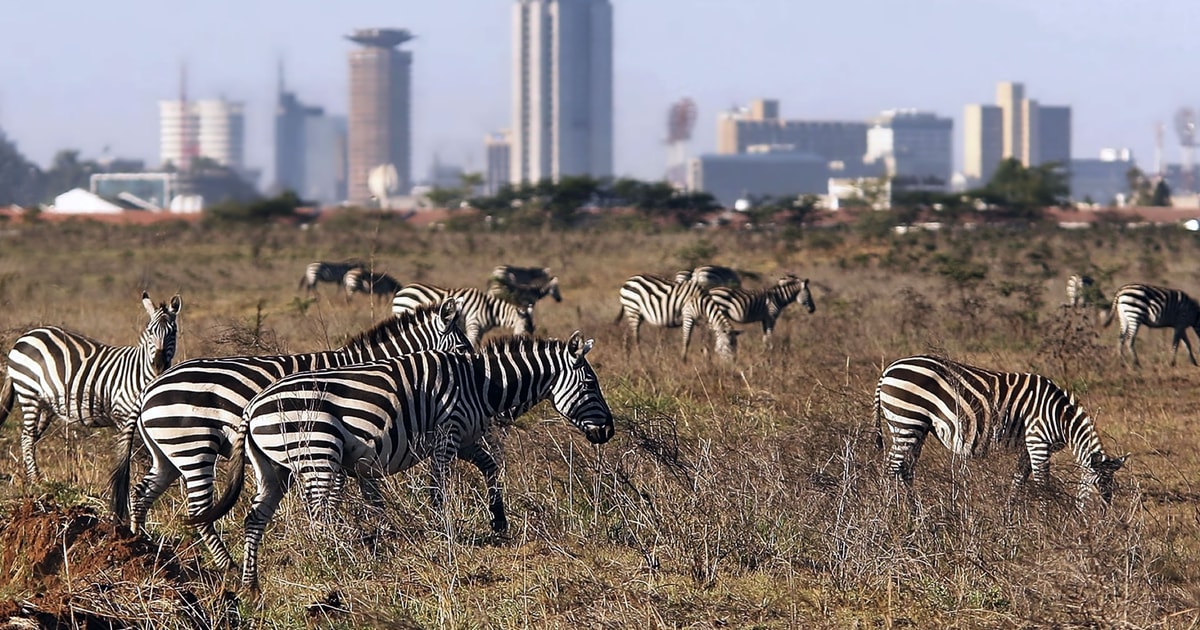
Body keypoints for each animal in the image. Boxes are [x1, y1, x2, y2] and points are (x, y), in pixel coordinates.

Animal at [0, 292, 182, 480]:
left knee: (32, 437)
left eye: (173, 332)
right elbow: (137, 453)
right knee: (27, 437)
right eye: (150, 331)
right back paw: (35, 479)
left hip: (46, 404)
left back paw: (29, 475)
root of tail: (27, 335)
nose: (159, 365)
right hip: (29, 394)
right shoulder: (122, 416)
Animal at [110, 300, 468, 568]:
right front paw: (338, 538)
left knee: (141, 494)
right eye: (464, 348)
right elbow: (336, 494)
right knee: (197, 511)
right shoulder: (333, 438)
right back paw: (228, 566)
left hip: (168, 453)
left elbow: (362, 492)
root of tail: (151, 388)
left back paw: (142, 550)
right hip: (193, 446)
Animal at [193, 331, 619, 592]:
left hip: (273, 467)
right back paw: (337, 558)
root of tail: (252, 407)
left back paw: (250, 581)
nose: (609, 432)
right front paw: (442, 531)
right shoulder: (448, 432)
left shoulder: (465, 437)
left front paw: (498, 520)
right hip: (318, 453)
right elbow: (438, 487)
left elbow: (491, 467)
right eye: (591, 384)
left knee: (256, 517)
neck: (481, 385)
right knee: (319, 515)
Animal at [393, 282, 535, 345]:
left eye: (532, 330)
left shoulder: (480, 331)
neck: (490, 310)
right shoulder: (474, 325)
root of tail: (401, 291)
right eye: (524, 328)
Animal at [873, 355, 1123, 508]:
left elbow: (1018, 480)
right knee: (891, 469)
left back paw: (914, 510)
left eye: (1111, 489)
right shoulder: (1037, 440)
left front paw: (1009, 518)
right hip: (906, 421)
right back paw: (889, 512)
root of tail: (888, 370)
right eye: (1099, 486)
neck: (1060, 416)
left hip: (917, 427)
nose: (1102, 522)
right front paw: (1047, 519)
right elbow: (1042, 483)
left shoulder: (1028, 446)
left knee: (906, 470)